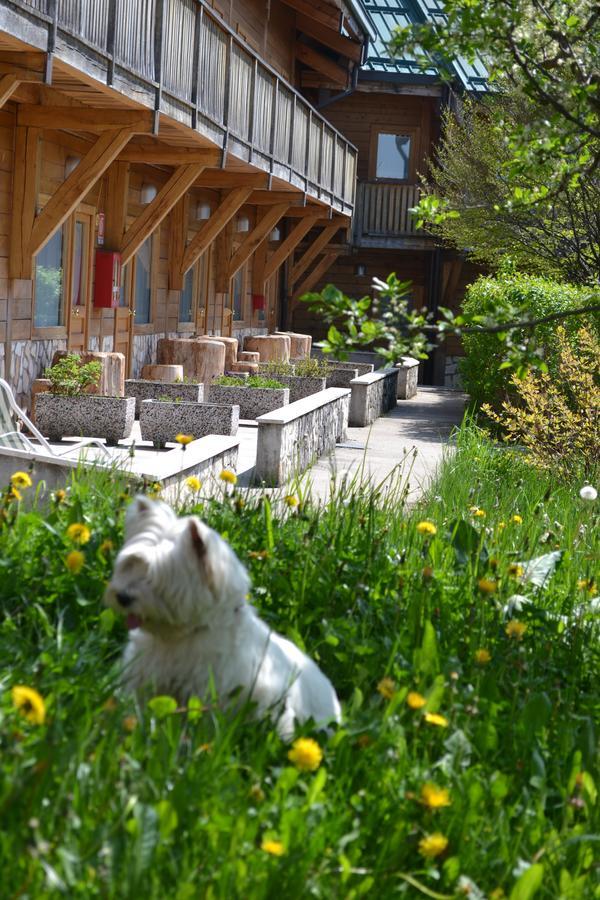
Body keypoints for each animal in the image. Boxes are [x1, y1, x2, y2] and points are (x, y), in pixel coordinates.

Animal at [103, 492, 342, 740]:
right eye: (131, 564)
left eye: (157, 576)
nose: (122, 596)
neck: (181, 636)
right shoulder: (145, 676)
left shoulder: (209, 693)